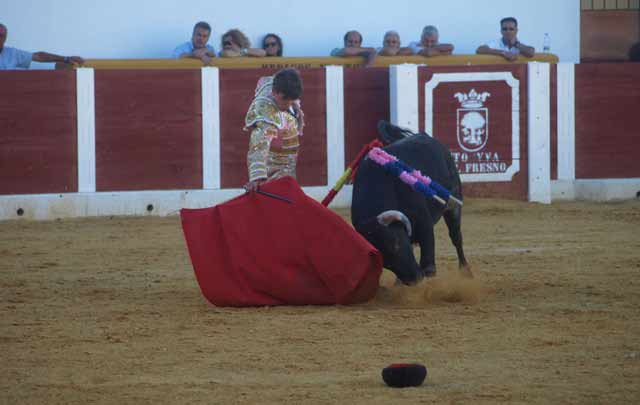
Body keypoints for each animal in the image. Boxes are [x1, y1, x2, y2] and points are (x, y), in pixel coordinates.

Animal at [350, 121, 470, 282]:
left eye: (396, 244)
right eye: (384, 261)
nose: (414, 279)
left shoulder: (424, 222)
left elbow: (429, 266)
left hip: (454, 203)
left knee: (456, 237)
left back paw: (466, 272)